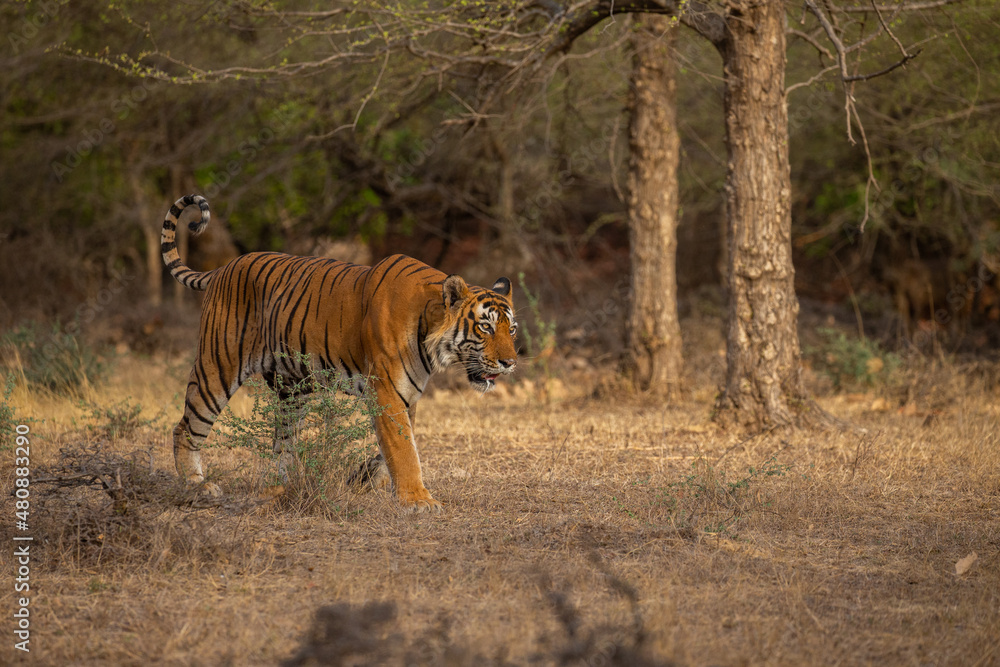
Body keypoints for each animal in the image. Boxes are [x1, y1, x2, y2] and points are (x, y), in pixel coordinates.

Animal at [161, 194, 518, 512]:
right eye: (485, 327)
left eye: (511, 329)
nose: (510, 363)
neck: (428, 329)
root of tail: (222, 268)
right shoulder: (387, 389)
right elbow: (404, 448)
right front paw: (418, 501)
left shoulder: (407, 393)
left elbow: (399, 443)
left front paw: (364, 477)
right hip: (217, 367)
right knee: (186, 427)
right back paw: (197, 486)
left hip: (292, 390)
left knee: (282, 444)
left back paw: (281, 489)